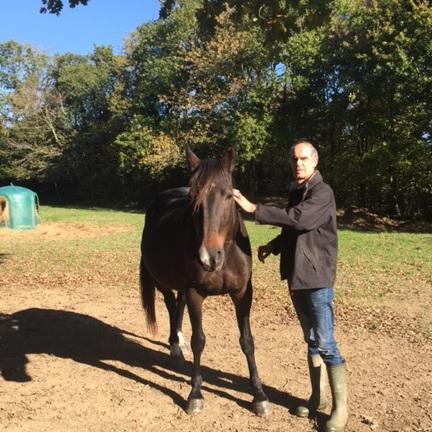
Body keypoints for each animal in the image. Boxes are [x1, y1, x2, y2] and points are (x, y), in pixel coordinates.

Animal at [140, 148, 270, 416]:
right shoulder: (195, 293)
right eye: (193, 198)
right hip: (162, 282)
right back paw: (175, 345)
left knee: (177, 307)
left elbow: (247, 341)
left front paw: (259, 395)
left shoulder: (243, 293)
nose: (208, 258)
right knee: (171, 306)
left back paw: (178, 342)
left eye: (229, 195)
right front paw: (195, 394)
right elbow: (199, 341)